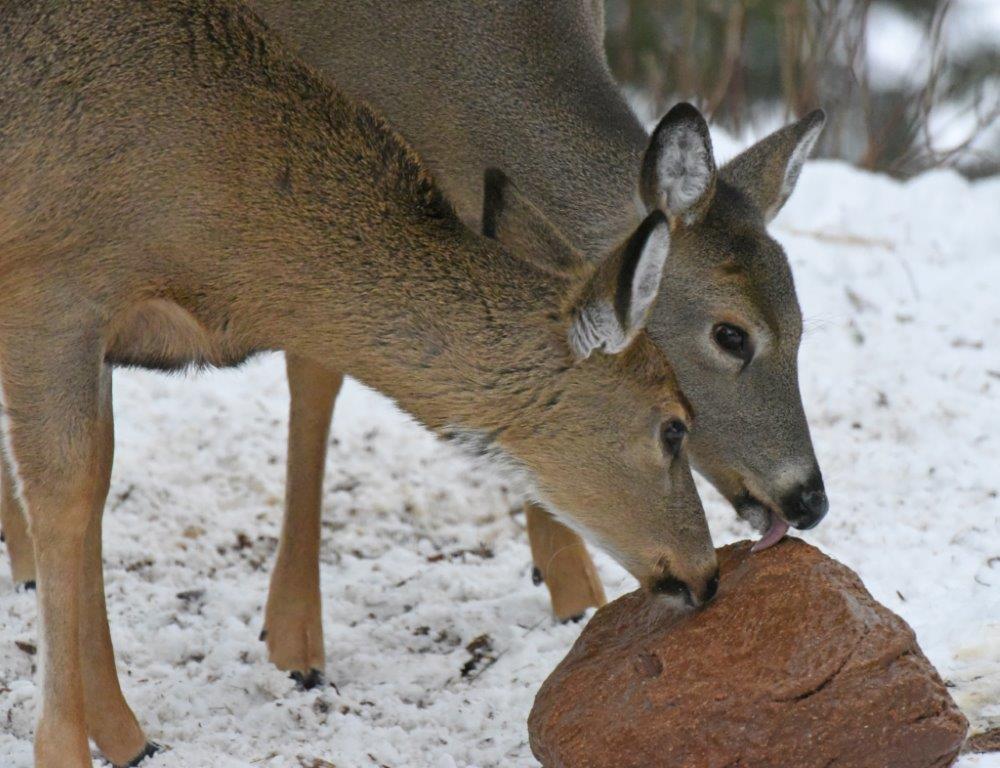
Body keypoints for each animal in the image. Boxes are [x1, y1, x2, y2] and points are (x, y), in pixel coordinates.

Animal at [0, 1, 721, 765]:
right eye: (674, 425)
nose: (706, 574)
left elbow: (97, 484)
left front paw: (124, 733)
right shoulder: (51, 290)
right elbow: (68, 492)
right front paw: (68, 746)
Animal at [223, 0, 830, 678]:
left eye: (801, 328)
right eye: (730, 334)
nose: (810, 498)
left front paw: (576, 592)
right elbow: (316, 368)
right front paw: (294, 639)